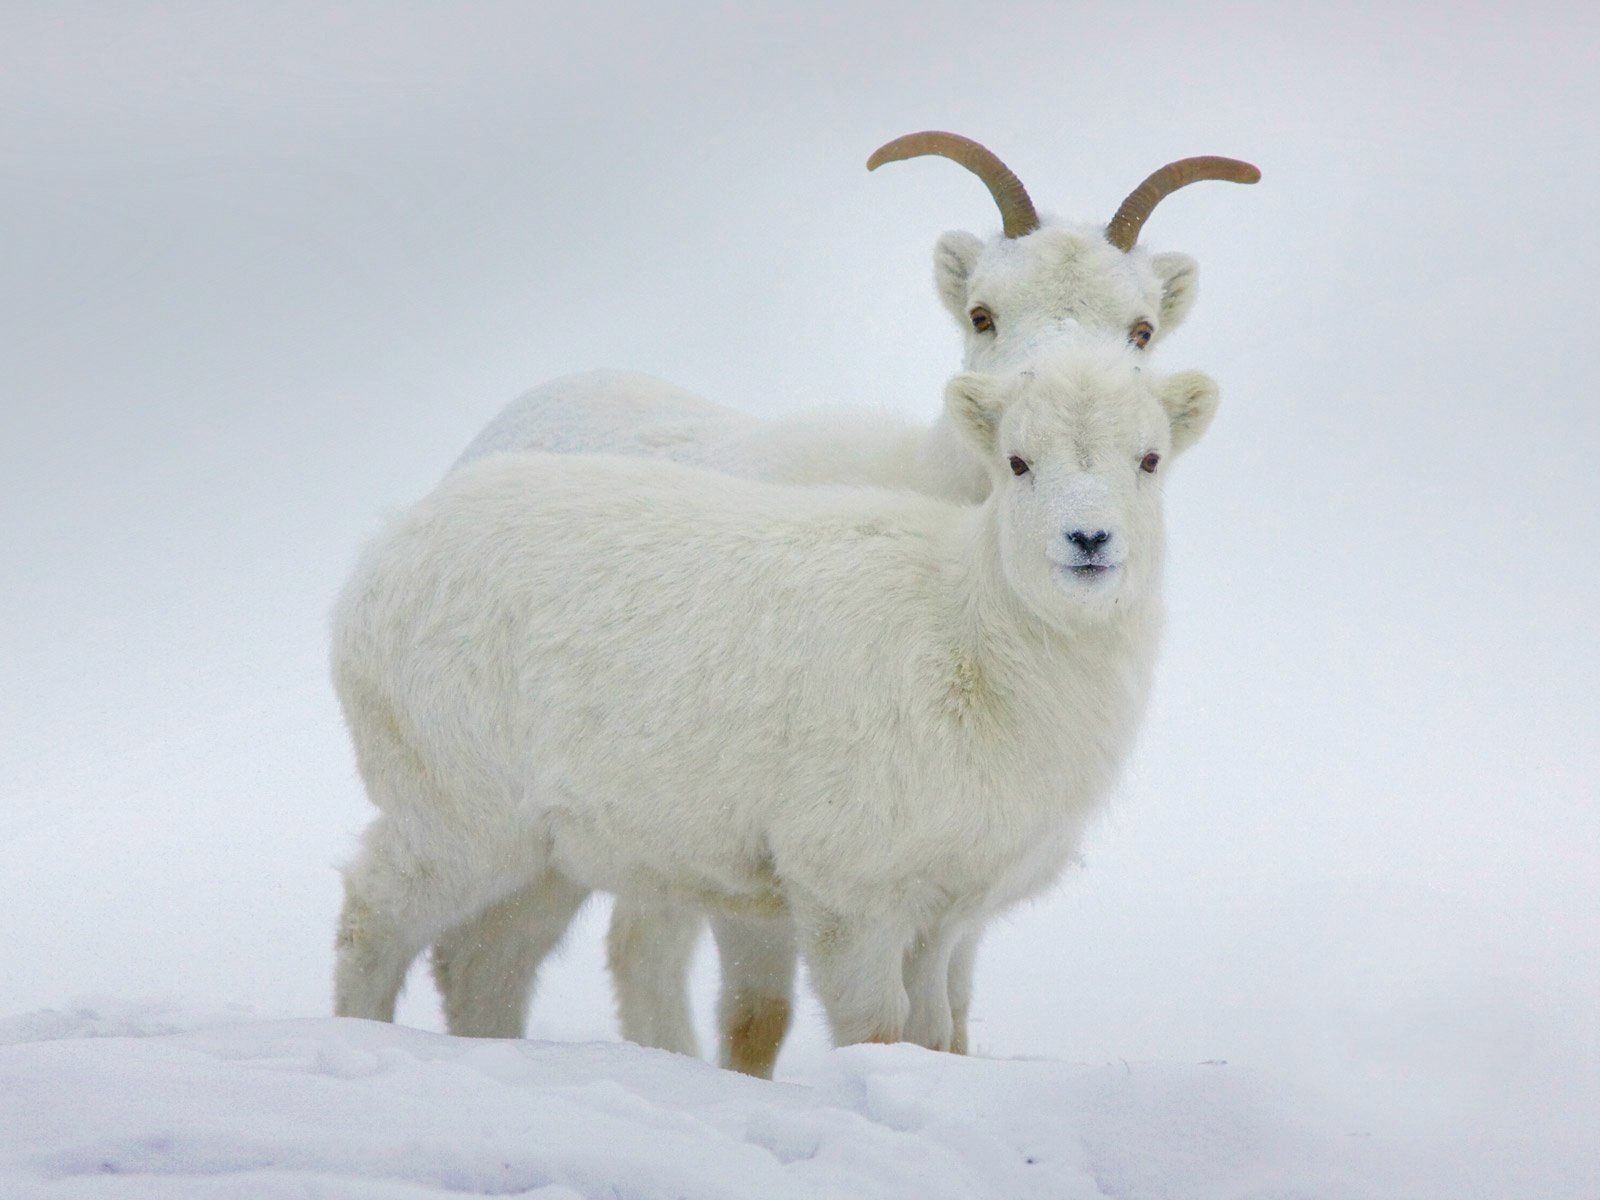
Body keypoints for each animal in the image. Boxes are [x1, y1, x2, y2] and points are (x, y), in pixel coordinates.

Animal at [331, 342, 1216, 1075]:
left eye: (1149, 459)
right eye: (1018, 461)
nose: (1088, 540)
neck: (973, 637)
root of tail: (381, 553)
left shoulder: (942, 911)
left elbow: (932, 1034)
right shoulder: (849, 889)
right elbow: (875, 1029)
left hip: (546, 851)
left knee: (484, 963)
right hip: (455, 810)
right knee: (375, 914)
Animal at [435, 133, 1248, 1081]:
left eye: (1142, 328)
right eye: (982, 314)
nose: (1050, 393)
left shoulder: (953, 891)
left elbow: (949, 1024)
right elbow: (761, 1017)